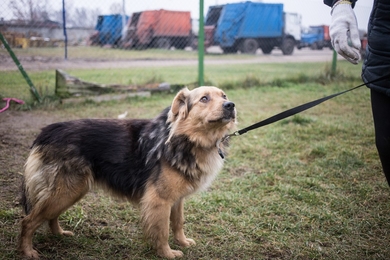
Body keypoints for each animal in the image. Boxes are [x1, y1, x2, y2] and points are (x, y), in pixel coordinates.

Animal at [18, 87, 236, 258]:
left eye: (224, 96)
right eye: (204, 98)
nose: (231, 105)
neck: (186, 137)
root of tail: (48, 131)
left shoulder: (176, 198)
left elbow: (178, 222)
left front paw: (182, 242)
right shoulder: (159, 200)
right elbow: (162, 230)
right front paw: (167, 253)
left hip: (70, 192)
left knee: (51, 216)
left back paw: (59, 234)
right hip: (66, 191)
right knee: (28, 221)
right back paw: (28, 251)